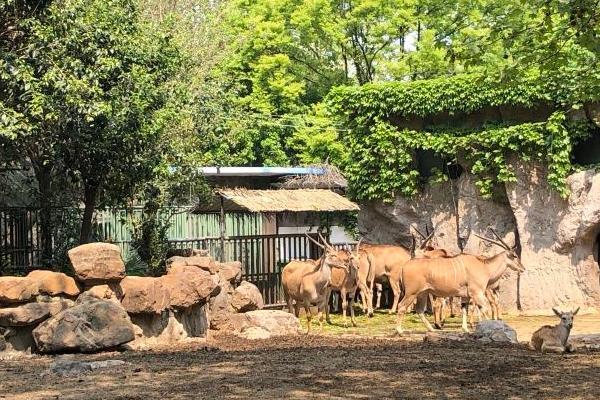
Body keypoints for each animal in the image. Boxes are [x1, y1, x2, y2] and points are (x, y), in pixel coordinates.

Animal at [396, 228, 524, 334]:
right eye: (514, 256)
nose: (522, 268)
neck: (484, 266)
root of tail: (405, 265)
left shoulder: (466, 296)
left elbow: (464, 310)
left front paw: (466, 329)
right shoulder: (477, 293)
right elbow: (484, 310)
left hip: (422, 293)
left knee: (419, 310)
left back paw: (432, 329)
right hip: (411, 293)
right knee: (401, 306)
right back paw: (400, 331)